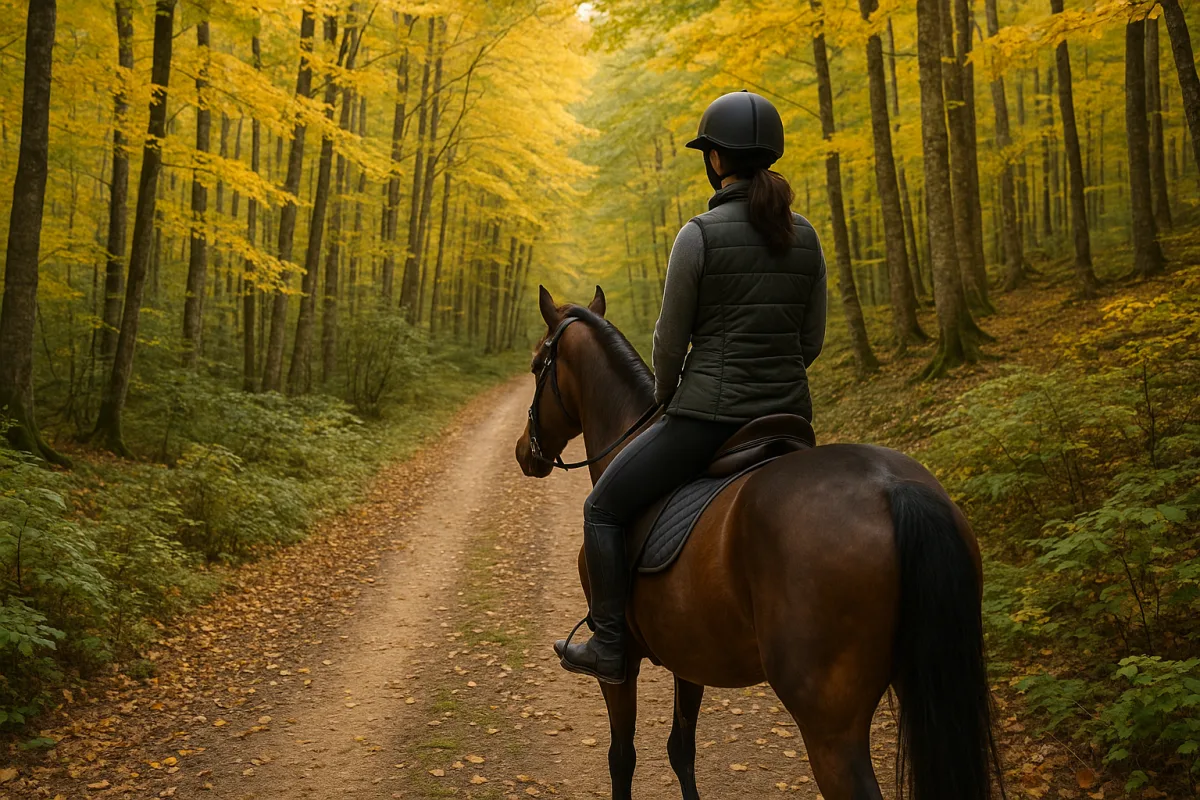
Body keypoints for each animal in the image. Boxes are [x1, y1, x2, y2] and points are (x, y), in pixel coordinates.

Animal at [513, 285, 1003, 800]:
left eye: (536, 366)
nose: (525, 451)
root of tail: (892, 487)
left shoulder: (622, 662)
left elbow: (621, 757)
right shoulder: (689, 653)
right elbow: (680, 749)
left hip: (829, 726)